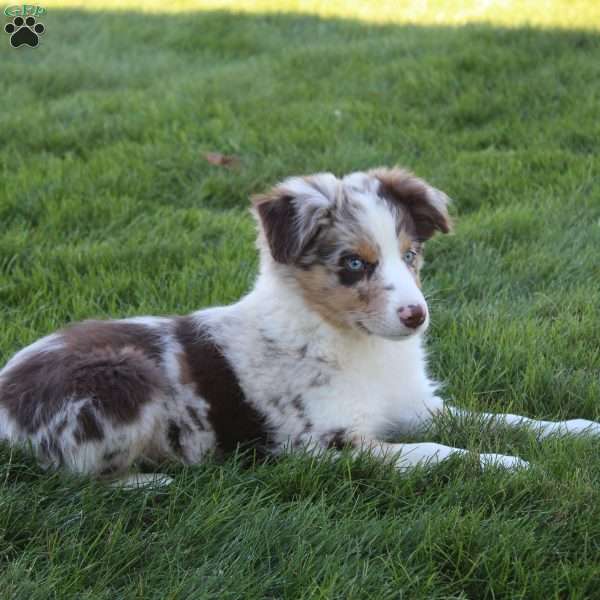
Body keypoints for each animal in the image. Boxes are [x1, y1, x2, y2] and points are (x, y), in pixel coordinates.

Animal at [1, 166, 600, 486]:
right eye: (353, 263)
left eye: (410, 254)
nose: (417, 315)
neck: (357, 345)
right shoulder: (323, 443)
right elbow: (437, 451)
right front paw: (510, 465)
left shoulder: (412, 405)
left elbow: (501, 418)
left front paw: (577, 430)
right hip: (123, 379)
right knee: (75, 476)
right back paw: (152, 482)